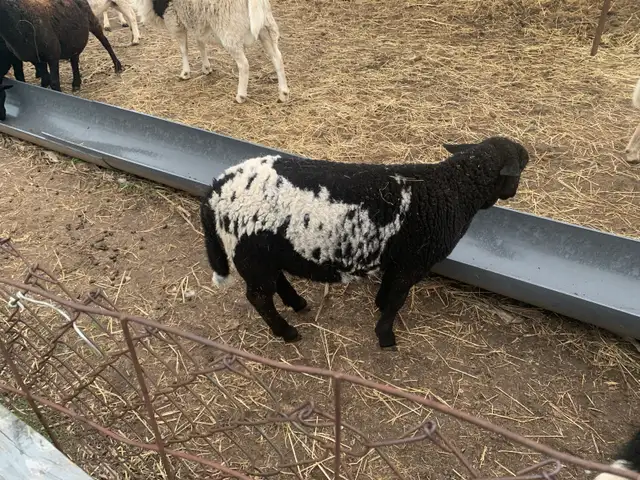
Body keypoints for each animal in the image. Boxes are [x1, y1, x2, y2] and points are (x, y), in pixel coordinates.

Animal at [136, 0, 290, 103]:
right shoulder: (197, 21)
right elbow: (200, 43)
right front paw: (206, 67)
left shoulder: (174, 18)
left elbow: (183, 49)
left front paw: (185, 73)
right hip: (266, 27)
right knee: (277, 57)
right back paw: (283, 93)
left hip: (231, 33)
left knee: (244, 64)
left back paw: (240, 96)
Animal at [199, 136, 530, 349]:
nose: (512, 193)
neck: (450, 189)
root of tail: (215, 189)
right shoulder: (412, 263)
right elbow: (397, 299)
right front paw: (386, 338)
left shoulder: (398, 260)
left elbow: (389, 291)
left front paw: (379, 306)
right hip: (250, 253)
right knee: (259, 297)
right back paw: (288, 332)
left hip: (263, 253)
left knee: (276, 281)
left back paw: (299, 304)